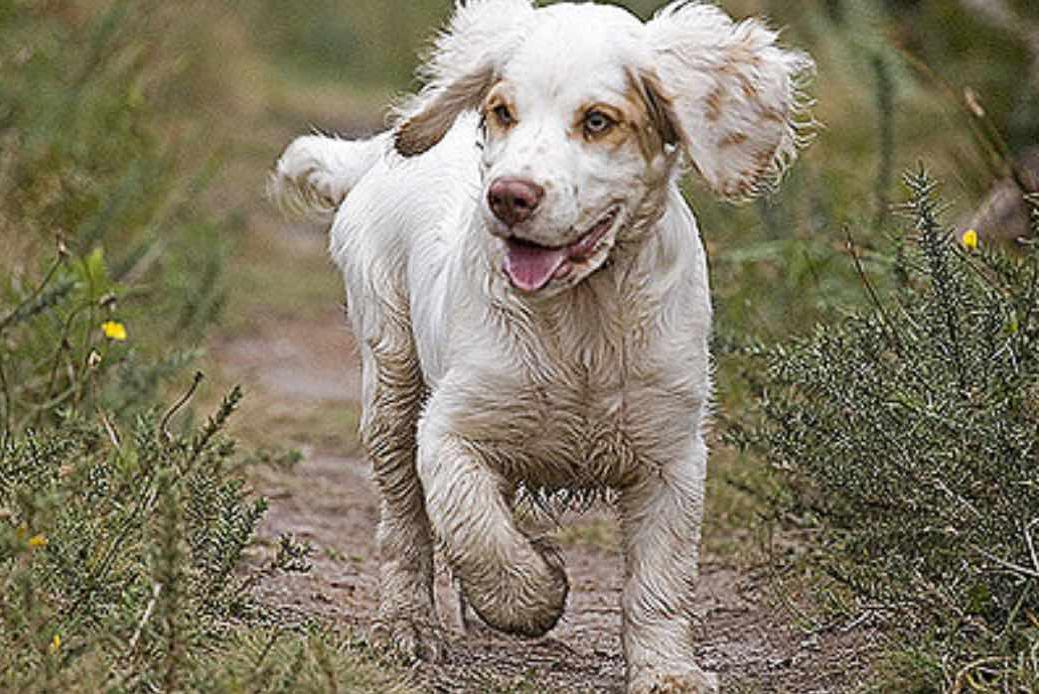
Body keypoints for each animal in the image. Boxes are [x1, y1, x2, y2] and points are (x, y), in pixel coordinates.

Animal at [270, 2, 810, 689]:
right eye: (503, 112)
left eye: (598, 121)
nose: (508, 196)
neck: (583, 315)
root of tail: (383, 155)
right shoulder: (449, 432)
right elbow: (478, 533)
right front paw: (539, 591)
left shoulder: (673, 454)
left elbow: (661, 578)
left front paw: (668, 672)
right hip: (390, 378)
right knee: (405, 520)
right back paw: (407, 625)